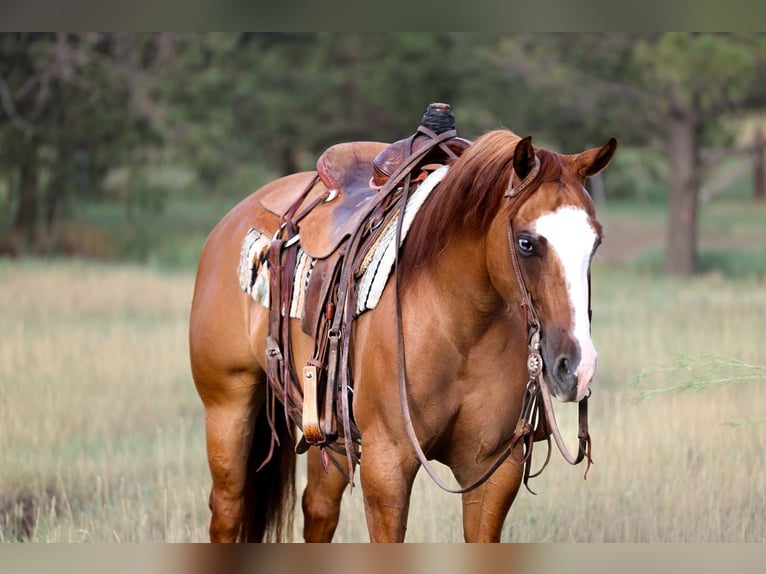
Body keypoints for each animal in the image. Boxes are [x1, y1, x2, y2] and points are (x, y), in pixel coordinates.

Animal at [189, 128, 617, 542]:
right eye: (526, 242)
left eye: (596, 242)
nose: (577, 367)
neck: (460, 327)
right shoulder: (387, 466)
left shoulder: (493, 472)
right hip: (227, 407)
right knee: (227, 510)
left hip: (325, 430)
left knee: (319, 511)